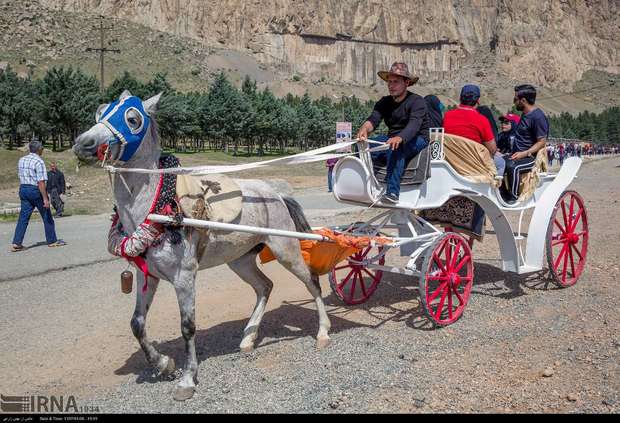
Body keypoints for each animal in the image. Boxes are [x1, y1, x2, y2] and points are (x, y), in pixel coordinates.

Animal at [72, 91, 332, 402]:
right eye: (100, 111)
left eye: (132, 119)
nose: (83, 143)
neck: (158, 207)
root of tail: (276, 194)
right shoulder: (147, 275)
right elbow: (137, 323)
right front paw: (163, 364)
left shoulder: (184, 277)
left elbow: (188, 327)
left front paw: (187, 379)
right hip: (240, 260)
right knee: (264, 287)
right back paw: (248, 338)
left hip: (286, 250)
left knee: (312, 282)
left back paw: (323, 333)